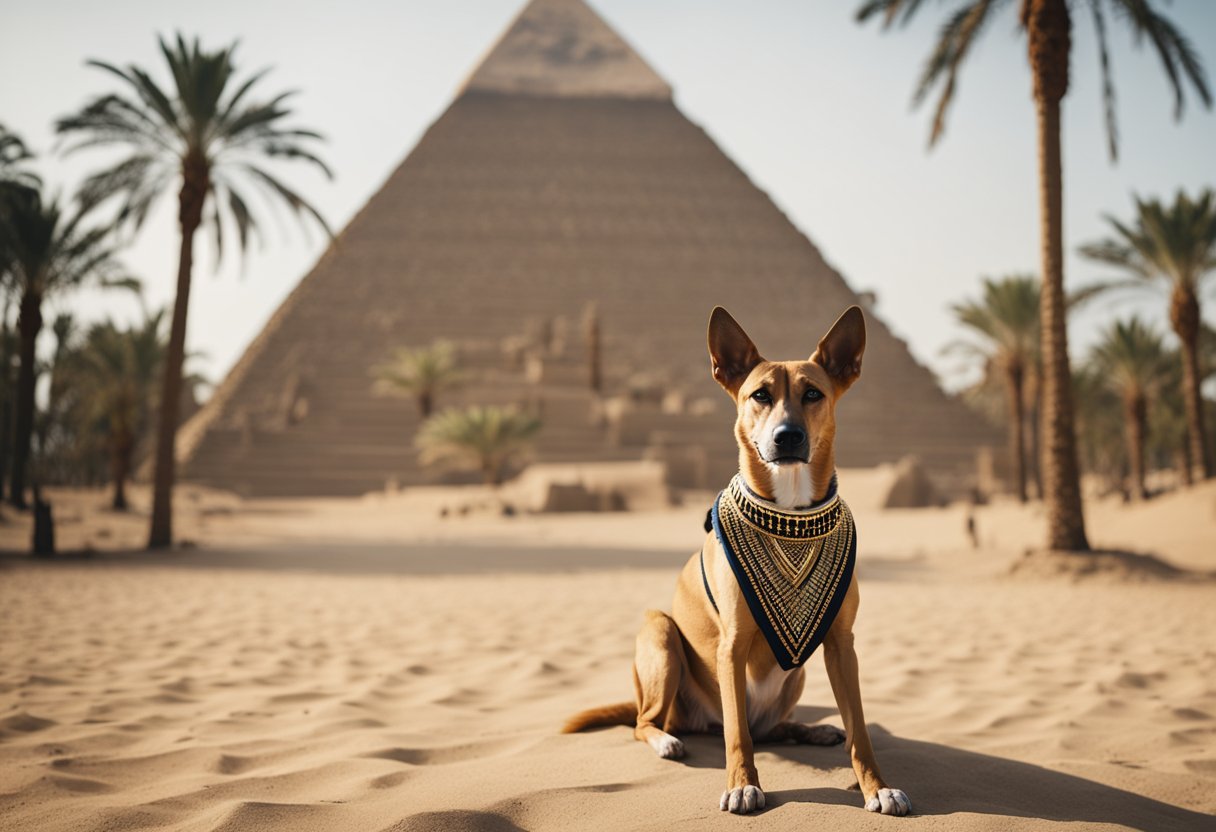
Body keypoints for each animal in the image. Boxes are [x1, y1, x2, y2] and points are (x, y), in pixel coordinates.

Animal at [564, 301, 909, 817]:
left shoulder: (841, 645)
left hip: (797, 672)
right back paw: (667, 740)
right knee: (653, 722)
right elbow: (736, 736)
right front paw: (743, 785)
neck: (789, 512)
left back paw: (810, 729)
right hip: (662, 636)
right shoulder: (732, 644)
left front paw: (877, 787)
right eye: (759, 395)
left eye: (813, 394)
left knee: (767, 729)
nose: (787, 437)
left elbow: (861, 734)